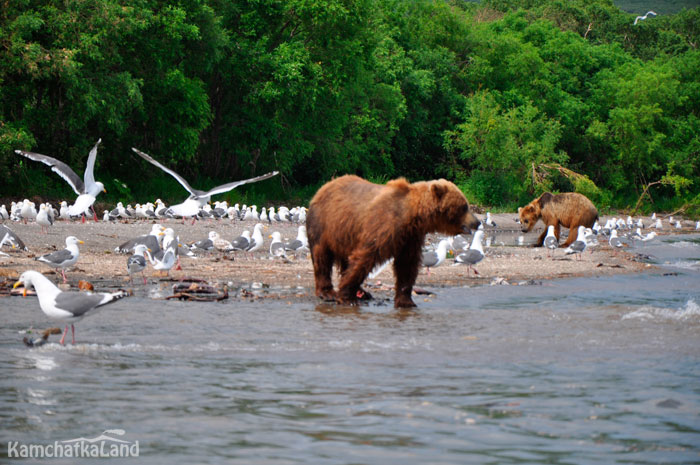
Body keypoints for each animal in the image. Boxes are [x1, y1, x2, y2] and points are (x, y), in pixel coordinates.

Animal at [308, 174, 482, 308]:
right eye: (464, 206)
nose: (477, 222)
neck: (413, 215)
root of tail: (322, 188)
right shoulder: (383, 226)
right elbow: (365, 257)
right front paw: (346, 297)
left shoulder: (410, 237)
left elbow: (406, 265)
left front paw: (406, 301)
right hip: (324, 224)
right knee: (322, 257)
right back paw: (328, 292)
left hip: (345, 235)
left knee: (345, 260)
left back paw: (363, 292)